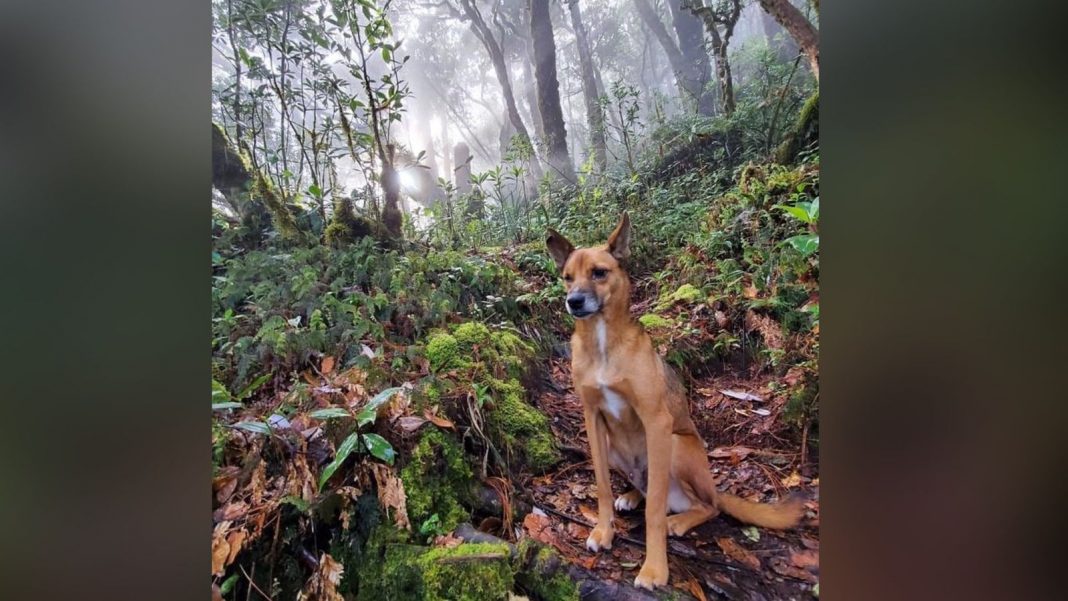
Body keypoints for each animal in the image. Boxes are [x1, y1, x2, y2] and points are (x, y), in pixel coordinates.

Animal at [542, 213, 803, 589]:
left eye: (599, 272)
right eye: (567, 277)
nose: (574, 301)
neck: (603, 343)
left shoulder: (656, 421)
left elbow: (653, 510)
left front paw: (654, 568)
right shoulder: (592, 418)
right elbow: (602, 485)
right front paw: (604, 531)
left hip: (677, 447)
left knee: (704, 505)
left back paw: (676, 521)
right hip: (614, 446)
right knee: (649, 488)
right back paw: (631, 495)